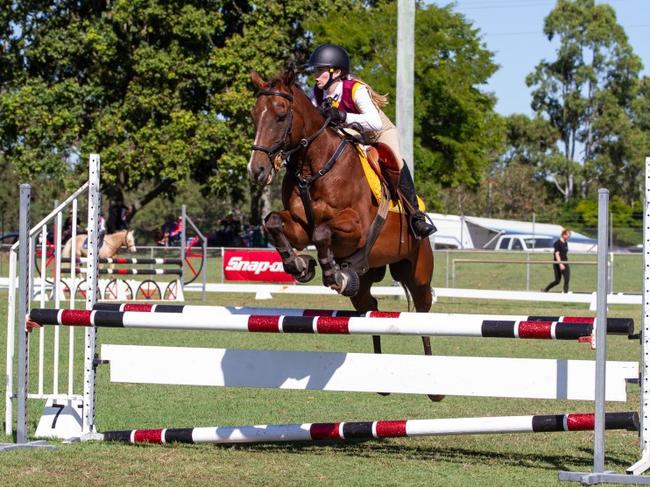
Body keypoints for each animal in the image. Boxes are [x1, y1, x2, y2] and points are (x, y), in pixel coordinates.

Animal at [248, 71, 440, 400]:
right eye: (253, 114)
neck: (314, 167)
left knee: (423, 311)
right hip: (368, 280)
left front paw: (328, 271)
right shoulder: (298, 227)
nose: (257, 170)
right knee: (370, 307)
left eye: (281, 114)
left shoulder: (357, 229)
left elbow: (323, 229)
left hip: (417, 271)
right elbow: (273, 222)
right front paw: (300, 266)